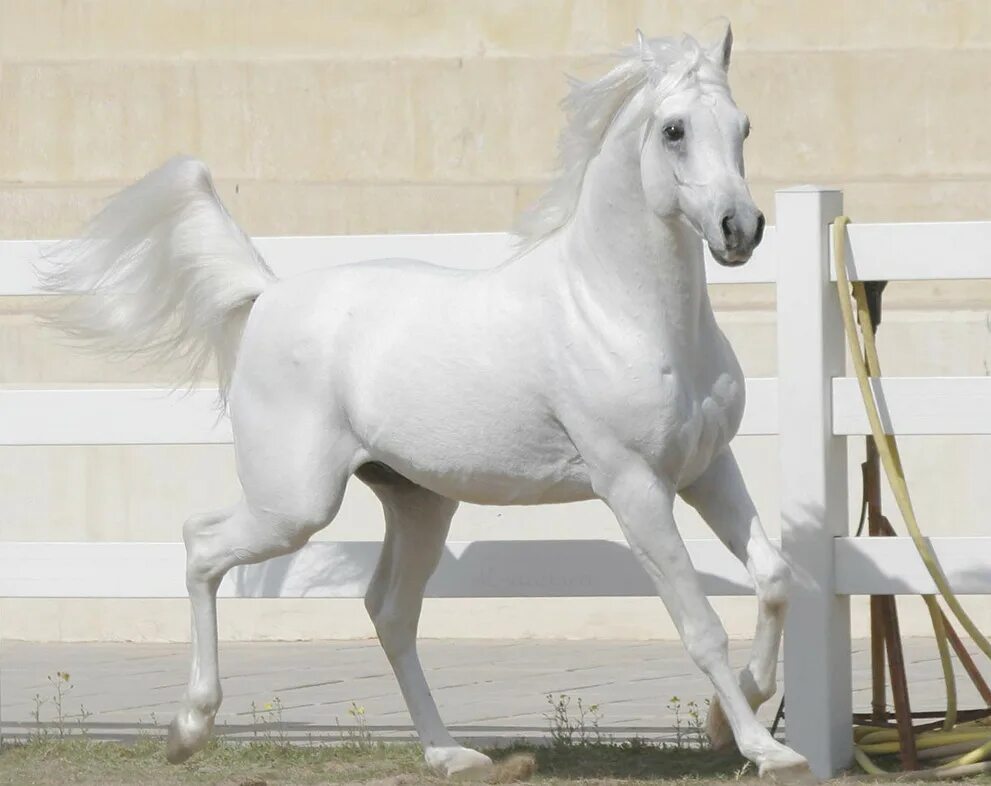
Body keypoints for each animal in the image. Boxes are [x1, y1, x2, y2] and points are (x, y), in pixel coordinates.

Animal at [42, 26, 808, 776]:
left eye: (742, 125)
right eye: (674, 130)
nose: (740, 228)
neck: (615, 310)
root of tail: (269, 294)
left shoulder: (707, 468)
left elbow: (772, 577)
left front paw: (734, 714)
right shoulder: (634, 487)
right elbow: (700, 626)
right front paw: (766, 748)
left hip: (417, 503)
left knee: (388, 610)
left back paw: (450, 755)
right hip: (295, 505)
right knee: (202, 546)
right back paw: (188, 728)